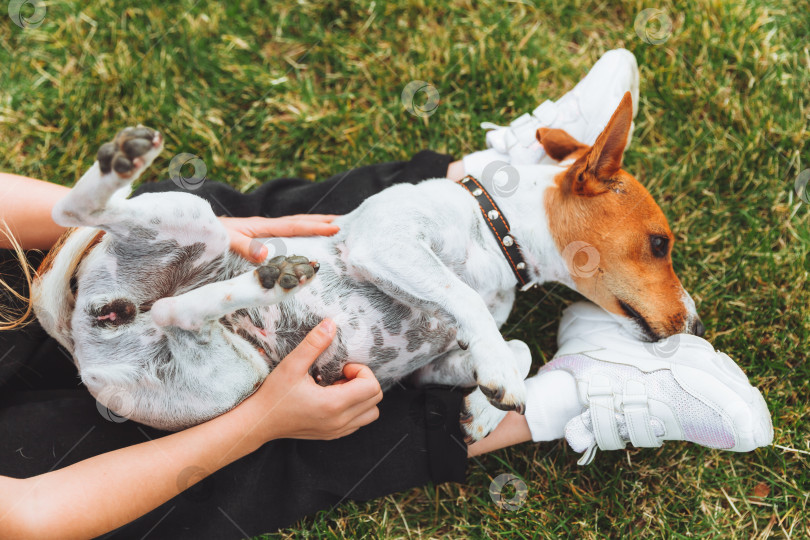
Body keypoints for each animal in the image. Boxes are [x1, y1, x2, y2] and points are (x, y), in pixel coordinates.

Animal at [31, 93, 700, 438]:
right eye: (659, 244)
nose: (693, 325)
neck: (494, 229)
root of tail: (90, 320)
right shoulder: (387, 241)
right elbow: (466, 301)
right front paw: (499, 386)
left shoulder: (433, 366)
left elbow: (515, 346)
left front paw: (485, 406)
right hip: (192, 213)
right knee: (73, 208)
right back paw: (124, 165)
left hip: (226, 374)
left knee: (177, 313)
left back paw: (268, 281)